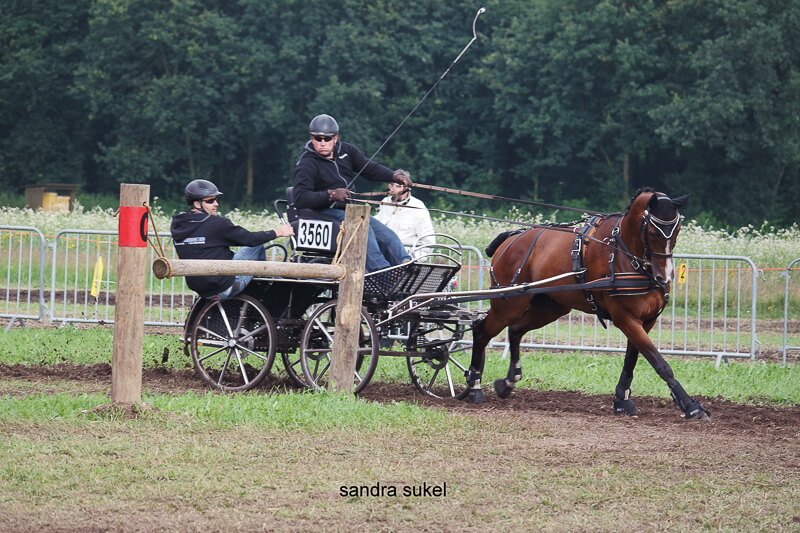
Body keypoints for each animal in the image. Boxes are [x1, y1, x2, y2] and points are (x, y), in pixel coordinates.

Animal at [459, 187, 709, 420]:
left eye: (677, 230)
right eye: (652, 231)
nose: (664, 277)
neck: (624, 253)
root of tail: (512, 239)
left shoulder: (647, 319)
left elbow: (632, 358)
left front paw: (622, 399)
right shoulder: (625, 318)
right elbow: (659, 362)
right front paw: (691, 405)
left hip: (549, 307)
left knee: (515, 330)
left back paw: (509, 381)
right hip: (509, 304)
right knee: (481, 331)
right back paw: (474, 387)